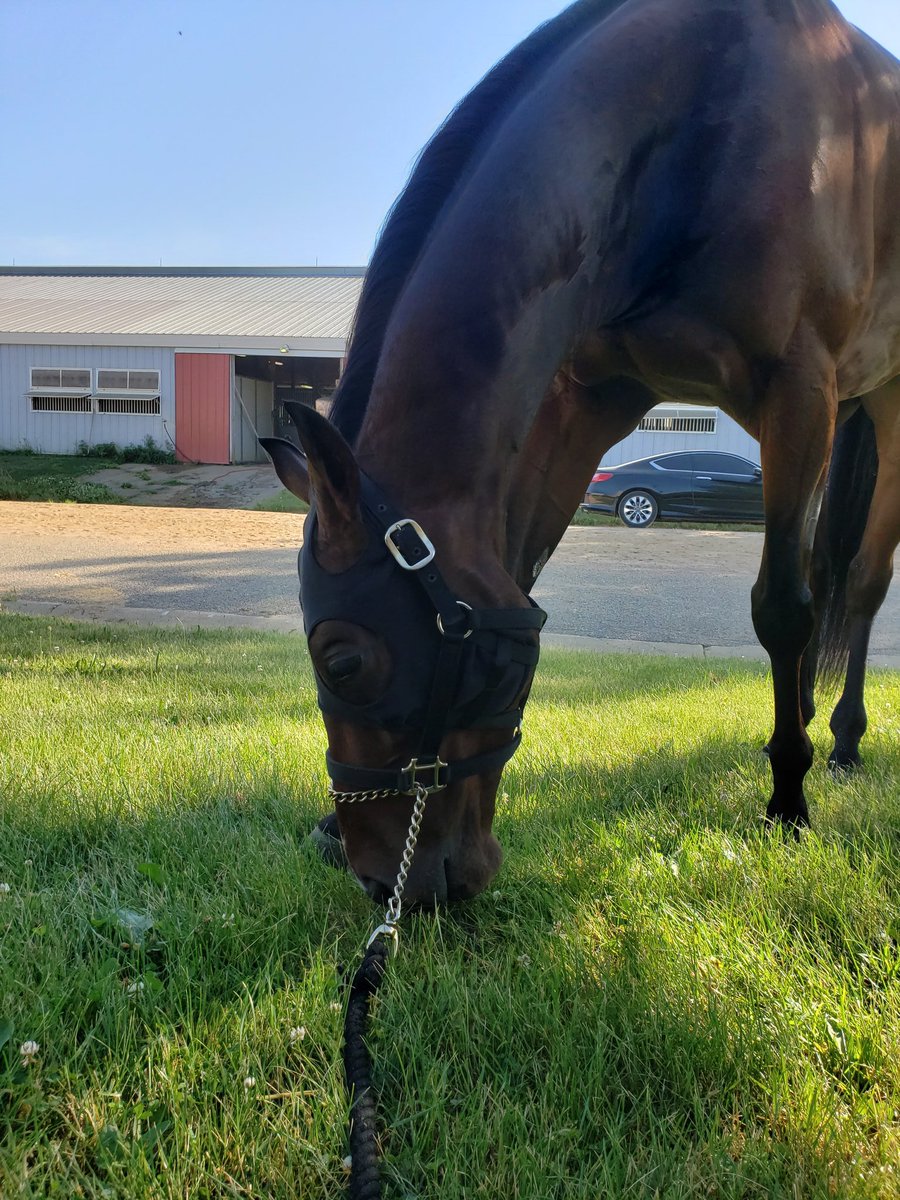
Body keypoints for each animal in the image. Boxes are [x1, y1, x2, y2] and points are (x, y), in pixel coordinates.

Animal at [262, 0, 900, 908]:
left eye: (342, 661)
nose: (390, 881)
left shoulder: (798, 391)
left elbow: (782, 607)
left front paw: (788, 801)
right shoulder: (589, 396)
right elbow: (519, 568)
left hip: (884, 401)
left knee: (864, 583)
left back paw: (839, 742)